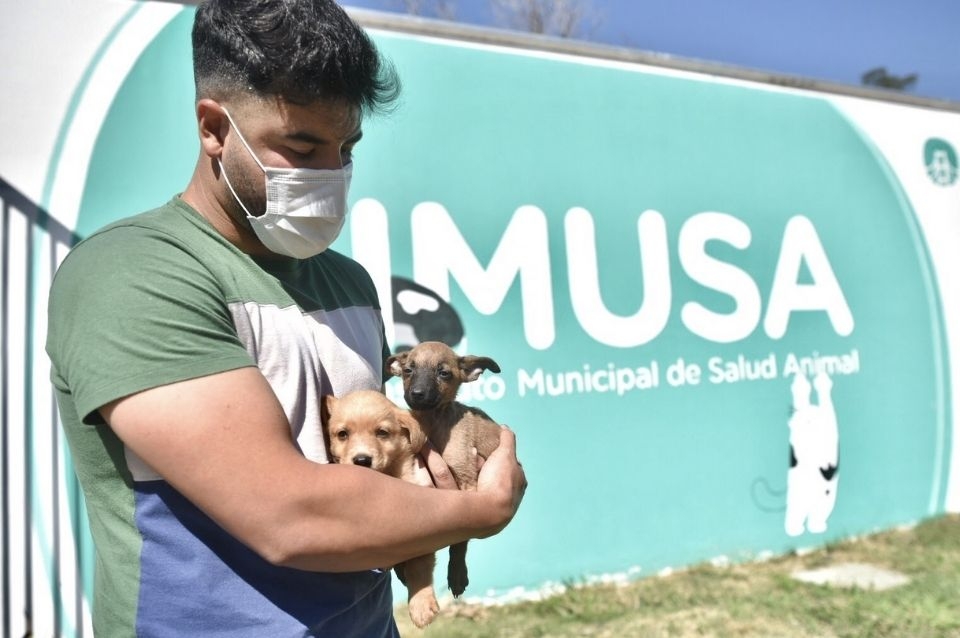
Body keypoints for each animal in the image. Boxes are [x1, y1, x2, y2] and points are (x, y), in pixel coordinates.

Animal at [386, 341, 503, 597]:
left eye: (444, 373)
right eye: (408, 370)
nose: (417, 394)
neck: (431, 423)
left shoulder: (466, 483)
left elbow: (459, 542)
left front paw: (457, 574)